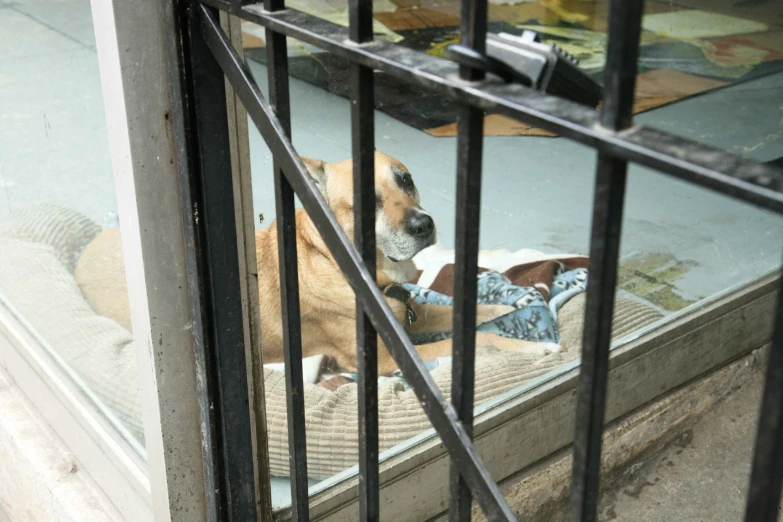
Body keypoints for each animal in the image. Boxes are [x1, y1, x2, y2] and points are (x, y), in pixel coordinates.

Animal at [258, 150, 556, 374]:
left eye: (406, 180)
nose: (424, 225)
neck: (332, 260)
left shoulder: (414, 314)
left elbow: (457, 312)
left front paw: (506, 307)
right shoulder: (387, 359)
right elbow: (481, 338)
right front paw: (537, 348)